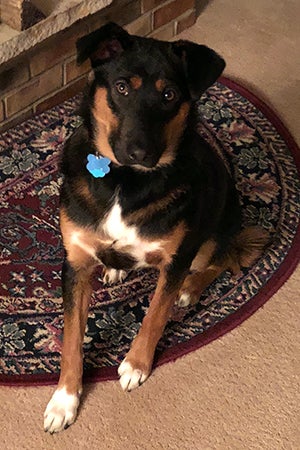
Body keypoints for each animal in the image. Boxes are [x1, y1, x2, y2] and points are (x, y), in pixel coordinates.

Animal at [43, 22, 268, 432]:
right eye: (121, 87)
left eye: (169, 94)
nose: (140, 152)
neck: (124, 181)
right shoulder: (75, 263)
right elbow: (71, 337)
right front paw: (64, 399)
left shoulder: (177, 258)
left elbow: (154, 315)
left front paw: (136, 364)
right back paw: (116, 268)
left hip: (212, 235)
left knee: (221, 261)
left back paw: (190, 289)